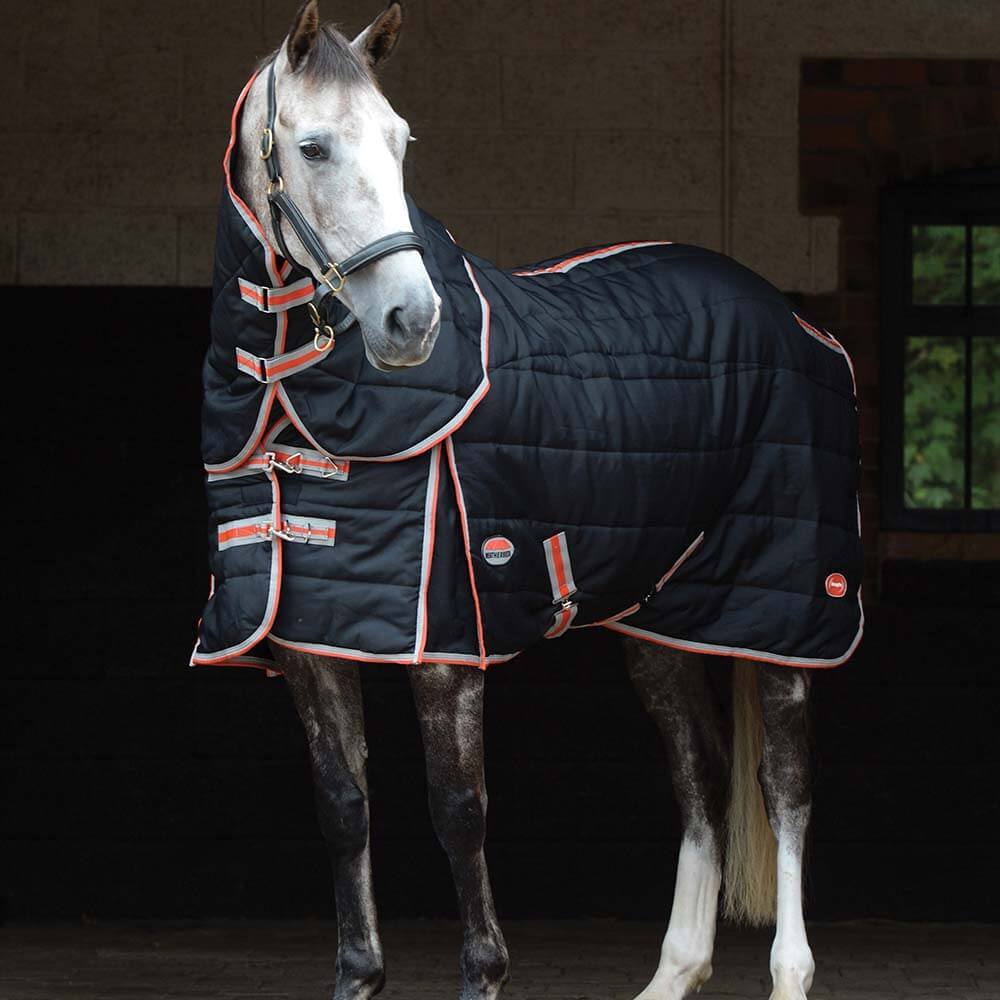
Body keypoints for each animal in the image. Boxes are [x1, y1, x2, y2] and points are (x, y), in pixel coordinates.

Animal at [203, 3, 857, 998]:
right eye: (312, 147)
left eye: (399, 141)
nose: (411, 322)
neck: (297, 402)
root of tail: (792, 320)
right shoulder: (313, 639)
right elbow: (344, 806)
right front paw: (359, 976)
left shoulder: (446, 641)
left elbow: (458, 808)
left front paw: (483, 972)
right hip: (660, 619)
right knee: (703, 776)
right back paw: (674, 972)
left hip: (781, 615)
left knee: (784, 787)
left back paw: (788, 972)